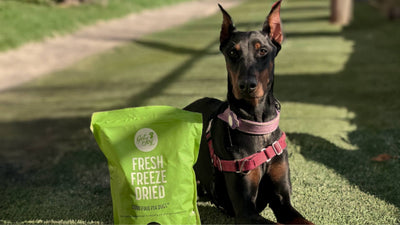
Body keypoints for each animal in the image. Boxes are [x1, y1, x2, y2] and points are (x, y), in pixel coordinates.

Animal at [184, 0, 312, 224]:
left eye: (263, 51)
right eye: (232, 53)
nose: (246, 85)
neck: (257, 125)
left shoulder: (282, 200)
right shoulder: (246, 211)